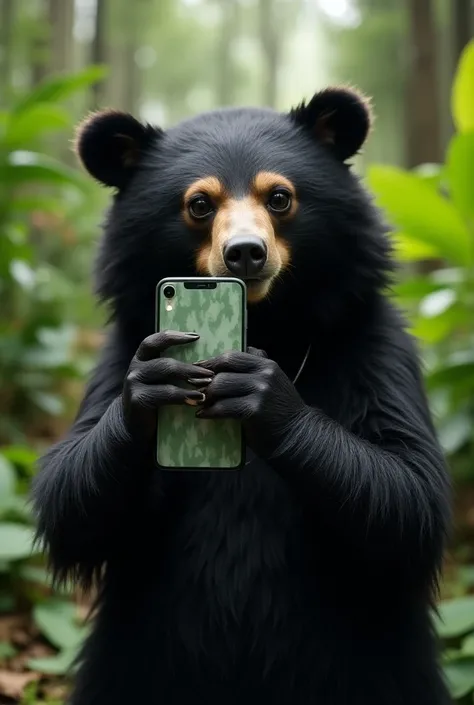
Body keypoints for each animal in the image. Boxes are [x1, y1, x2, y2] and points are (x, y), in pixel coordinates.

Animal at [33, 89, 452, 704]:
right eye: (199, 204)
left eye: (279, 197)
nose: (246, 254)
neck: (273, 321)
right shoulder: (116, 349)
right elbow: (70, 500)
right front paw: (152, 385)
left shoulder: (373, 346)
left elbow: (409, 493)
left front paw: (262, 394)